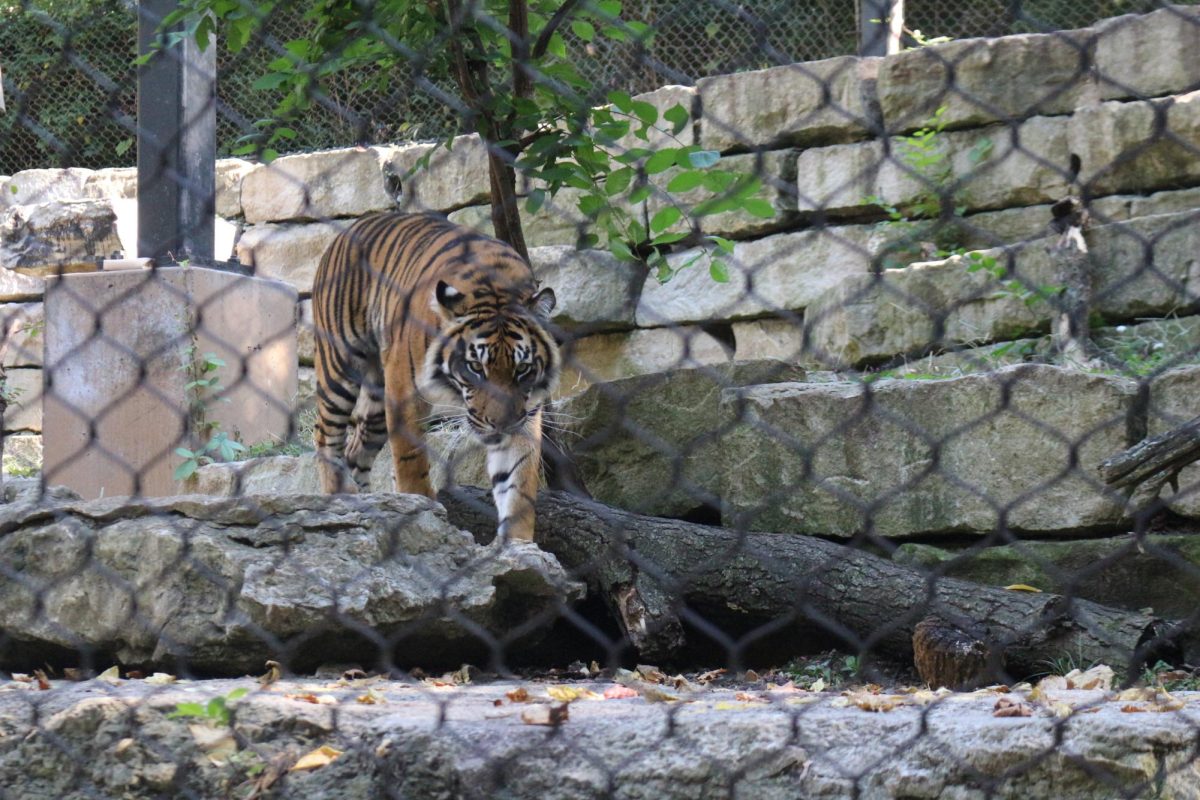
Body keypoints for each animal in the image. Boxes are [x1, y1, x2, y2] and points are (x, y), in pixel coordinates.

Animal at [314, 211, 561, 544]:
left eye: (522, 369)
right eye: (475, 367)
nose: (500, 425)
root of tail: (353, 226)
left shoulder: (526, 410)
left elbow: (518, 480)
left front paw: (518, 545)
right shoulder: (405, 391)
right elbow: (411, 460)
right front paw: (421, 512)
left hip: (377, 403)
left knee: (356, 451)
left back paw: (368, 503)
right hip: (340, 366)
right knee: (325, 434)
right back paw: (339, 496)